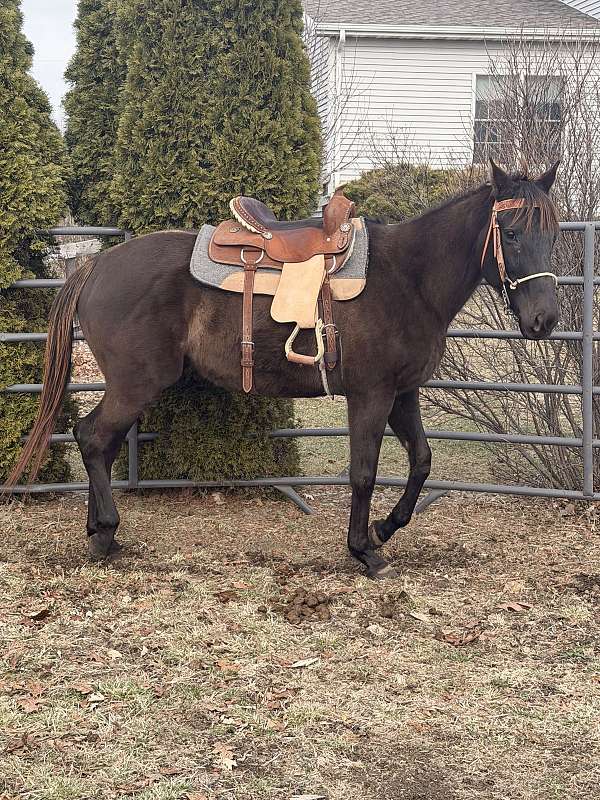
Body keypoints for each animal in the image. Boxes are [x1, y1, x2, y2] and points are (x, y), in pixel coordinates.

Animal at [5, 160, 560, 578]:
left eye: (553, 233)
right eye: (512, 233)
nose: (545, 319)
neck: (409, 278)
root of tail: (96, 265)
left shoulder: (403, 394)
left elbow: (422, 461)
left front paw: (385, 528)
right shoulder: (371, 395)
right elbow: (363, 472)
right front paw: (364, 549)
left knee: (97, 440)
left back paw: (100, 530)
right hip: (135, 384)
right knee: (93, 437)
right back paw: (104, 533)